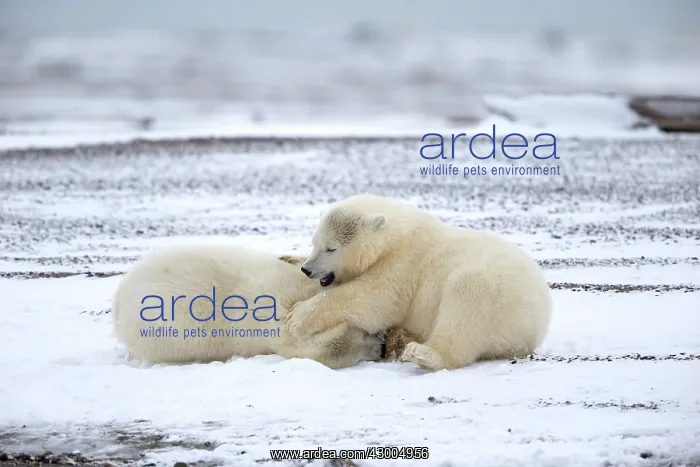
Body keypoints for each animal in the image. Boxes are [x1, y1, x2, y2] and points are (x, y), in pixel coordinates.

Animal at [285, 194, 553, 371]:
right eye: (314, 242)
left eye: (331, 248)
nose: (307, 269)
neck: (395, 234)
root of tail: (539, 320)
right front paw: (290, 257)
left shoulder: (404, 263)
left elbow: (374, 299)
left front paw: (297, 317)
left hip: (494, 291)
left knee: (465, 307)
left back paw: (423, 353)